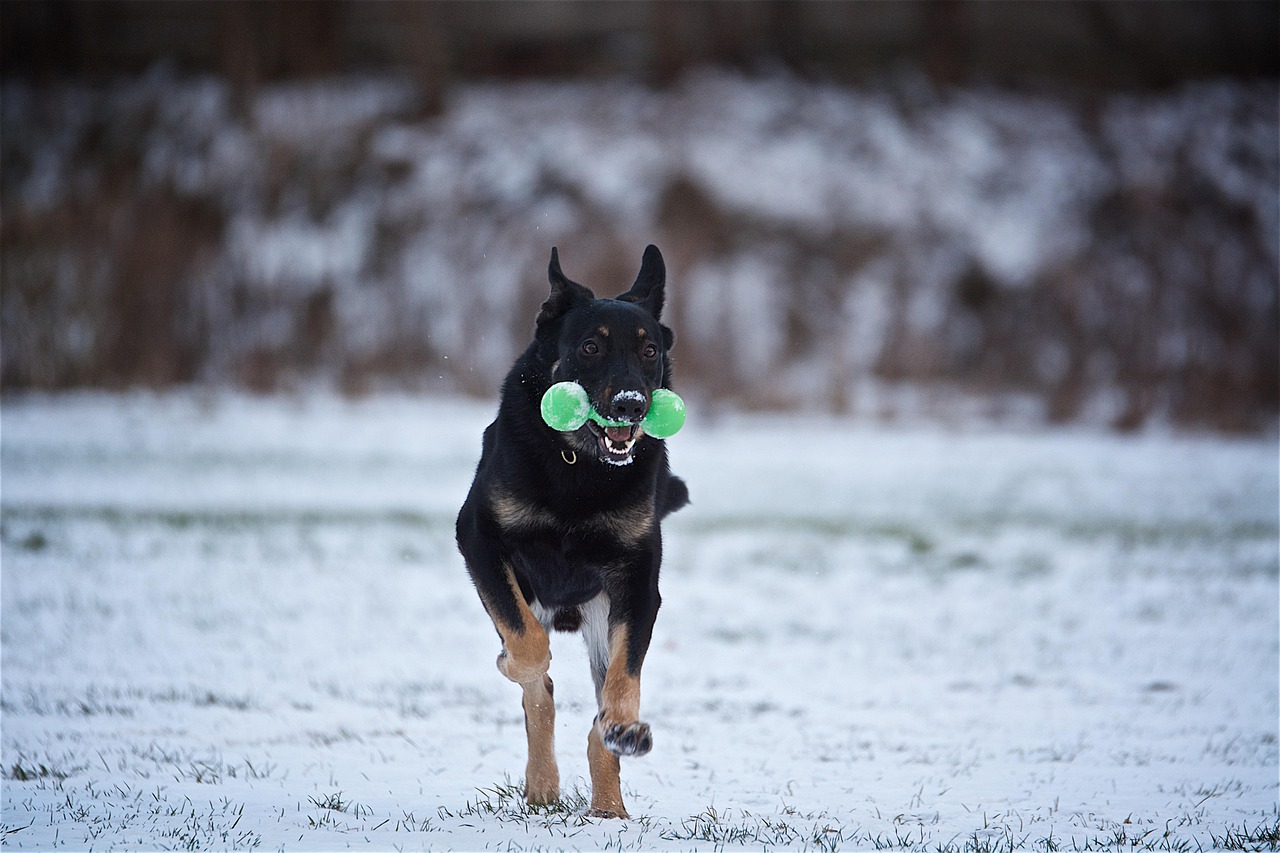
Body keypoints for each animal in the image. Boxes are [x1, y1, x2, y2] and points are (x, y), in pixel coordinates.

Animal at [455, 242, 686, 814]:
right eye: (589, 346)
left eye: (650, 351)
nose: (631, 404)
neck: (580, 465)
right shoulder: (480, 539)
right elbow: (529, 652)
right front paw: (511, 663)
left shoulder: (637, 583)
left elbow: (624, 679)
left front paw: (624, 728)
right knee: (540, 690)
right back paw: (542, 784)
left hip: (602, 615)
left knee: (595, 708)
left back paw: (609, 804)